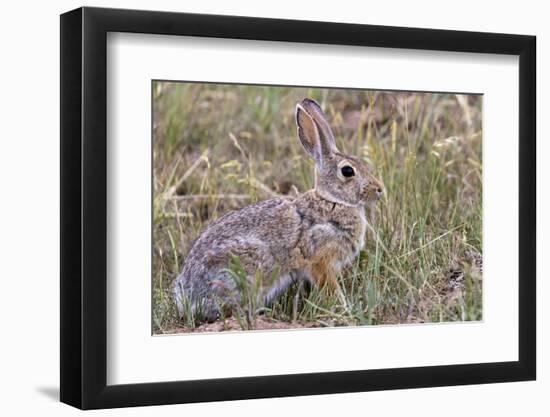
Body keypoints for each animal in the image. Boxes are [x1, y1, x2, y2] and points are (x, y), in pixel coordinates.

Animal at [175, 97, 386, 322]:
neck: (333, 200)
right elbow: (330, 287)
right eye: (347, 171)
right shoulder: (321, 260)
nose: (379, 189)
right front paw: (344, 308)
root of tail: (188, 297)